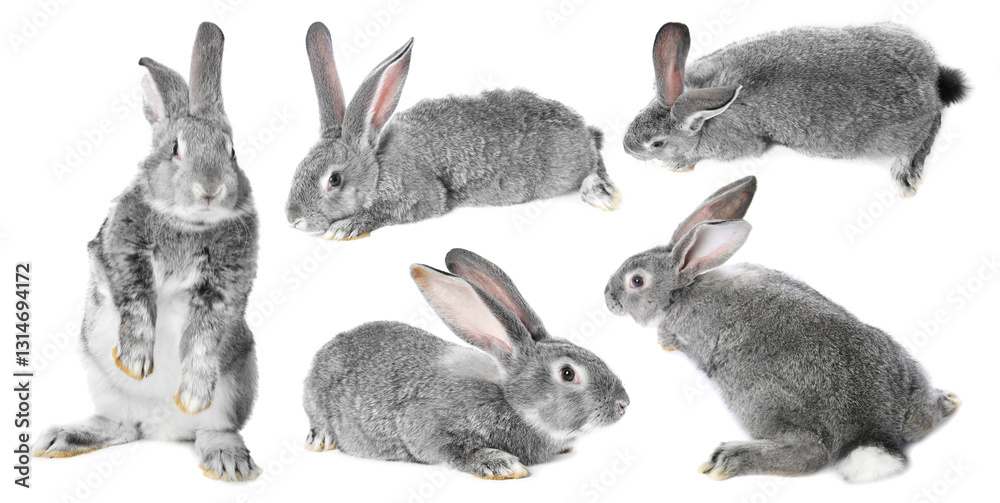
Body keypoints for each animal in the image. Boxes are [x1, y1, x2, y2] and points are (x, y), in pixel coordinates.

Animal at [32, 22, 262, 482]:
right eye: (175, 149)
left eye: (232, 152)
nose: (210, 190)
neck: (188, 224)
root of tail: (162, 430)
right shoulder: (118, 254)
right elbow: (135, 300)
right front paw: (136, 361)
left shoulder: (225, 288)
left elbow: (203, 336)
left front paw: (192, 394)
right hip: (99, 377)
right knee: (122, 428)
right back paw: (60, 439)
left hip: (236, 383)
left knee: (213, 429)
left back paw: (227, 459)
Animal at [285, 22, 621, 241]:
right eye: (299, 167)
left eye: (334, 180)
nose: (293, 220)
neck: (377, 165)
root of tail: (585, 131)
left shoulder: (420, 196)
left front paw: (345, 227)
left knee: (597, 165)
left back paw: (600, 194)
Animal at [303, 248, 630, 479]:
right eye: (567, 373)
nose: (624, 404)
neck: (512, 403)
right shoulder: (430, 428)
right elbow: (458, 451)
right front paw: (502, 465)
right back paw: (320, 439)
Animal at [604, 176, 958, 483]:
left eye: (636, 281)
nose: (608, 299)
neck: (683, 289)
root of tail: (869, 424)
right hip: (903, 367)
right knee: (920, 422)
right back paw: (945, 403)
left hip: (758, 401)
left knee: (811, 452)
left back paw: (728, 459)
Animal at [624, 23, 968, 197]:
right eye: (637, 117)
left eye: (657, 144)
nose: (626, 148)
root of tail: (932, 80)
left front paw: (678, 164)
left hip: (898, 136)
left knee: (929, 129)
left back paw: (906, 173)